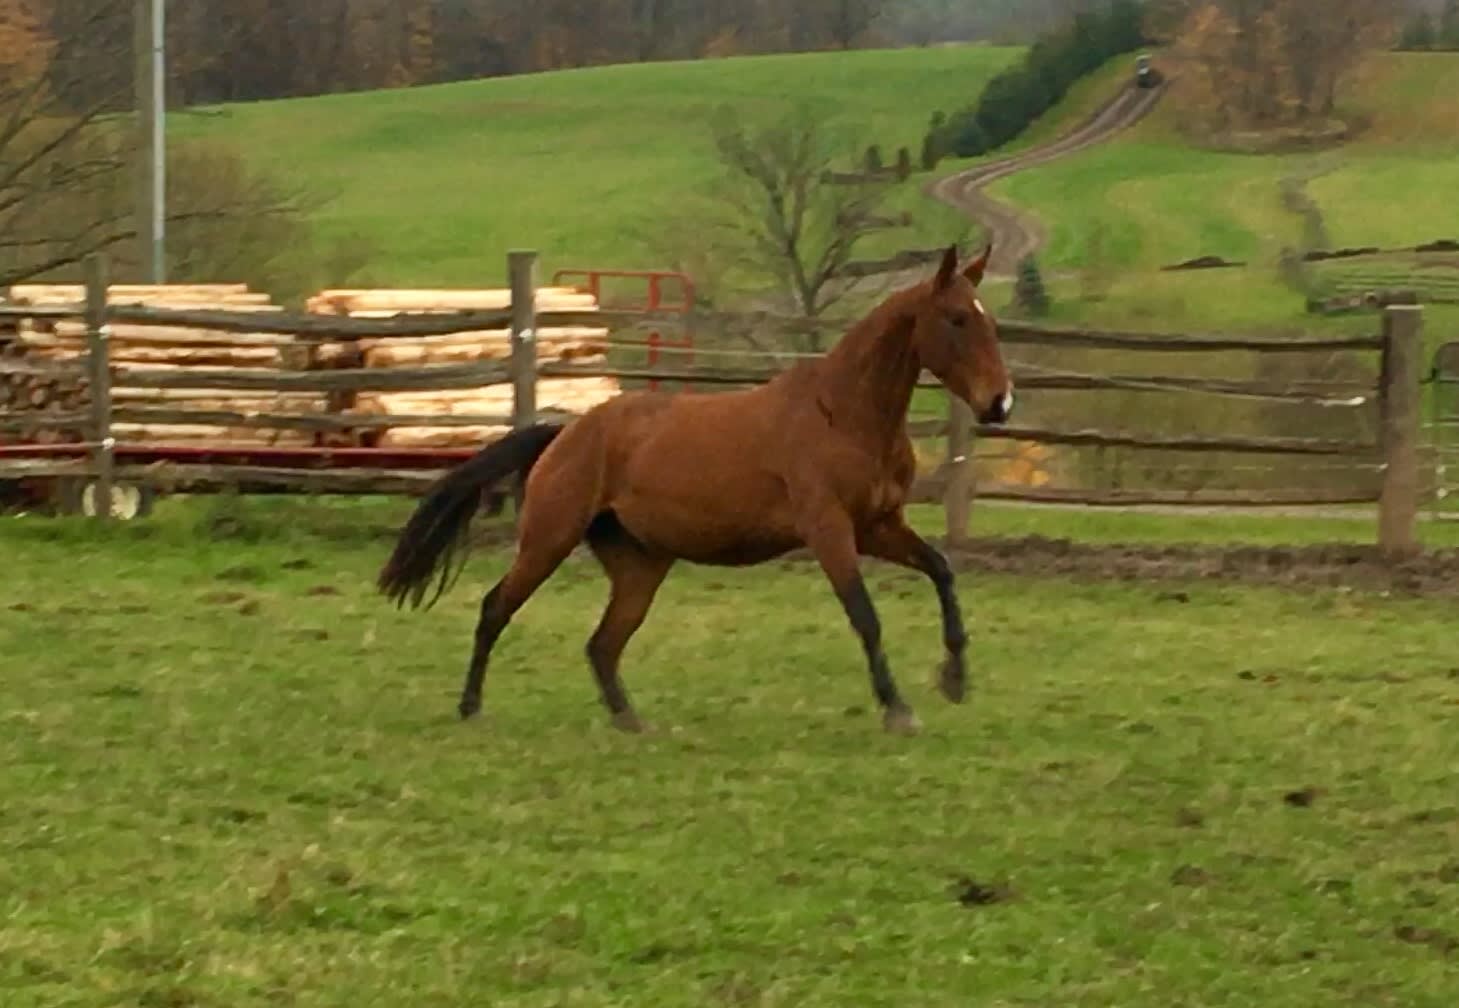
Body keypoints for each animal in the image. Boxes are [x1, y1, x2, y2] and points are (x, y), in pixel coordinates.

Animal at [377, 244, 1014, 735]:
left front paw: (954, 679)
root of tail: (567, 433)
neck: (844, 414)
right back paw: (471, 707)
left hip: (640, 565)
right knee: (496, 608)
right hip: (548, 540)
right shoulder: (829, 529)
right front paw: (899, 708)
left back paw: (630, 720)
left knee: (603, 643)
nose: (1000, 404)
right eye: (957, 318)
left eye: (989, 321)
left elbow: (942, 572)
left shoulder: (879, 527)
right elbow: (866, 615)